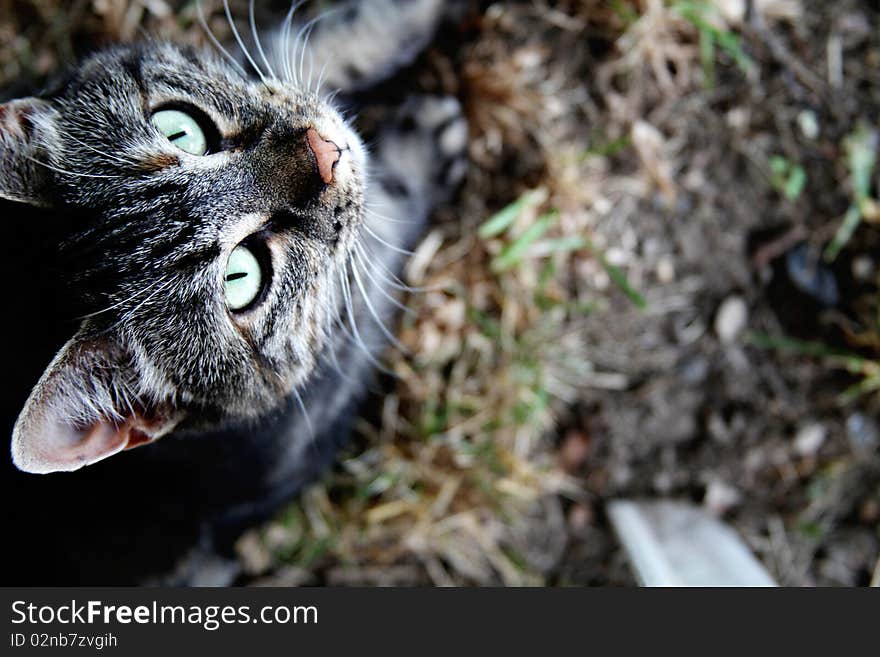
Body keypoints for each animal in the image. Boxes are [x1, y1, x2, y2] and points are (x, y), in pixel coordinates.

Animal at [0, 0, 468, 584]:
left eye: (180, 130)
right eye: (241, 279)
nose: (324, 150)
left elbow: (309, 40)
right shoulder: (317, 402)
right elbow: (386, 219)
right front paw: (422, 146)